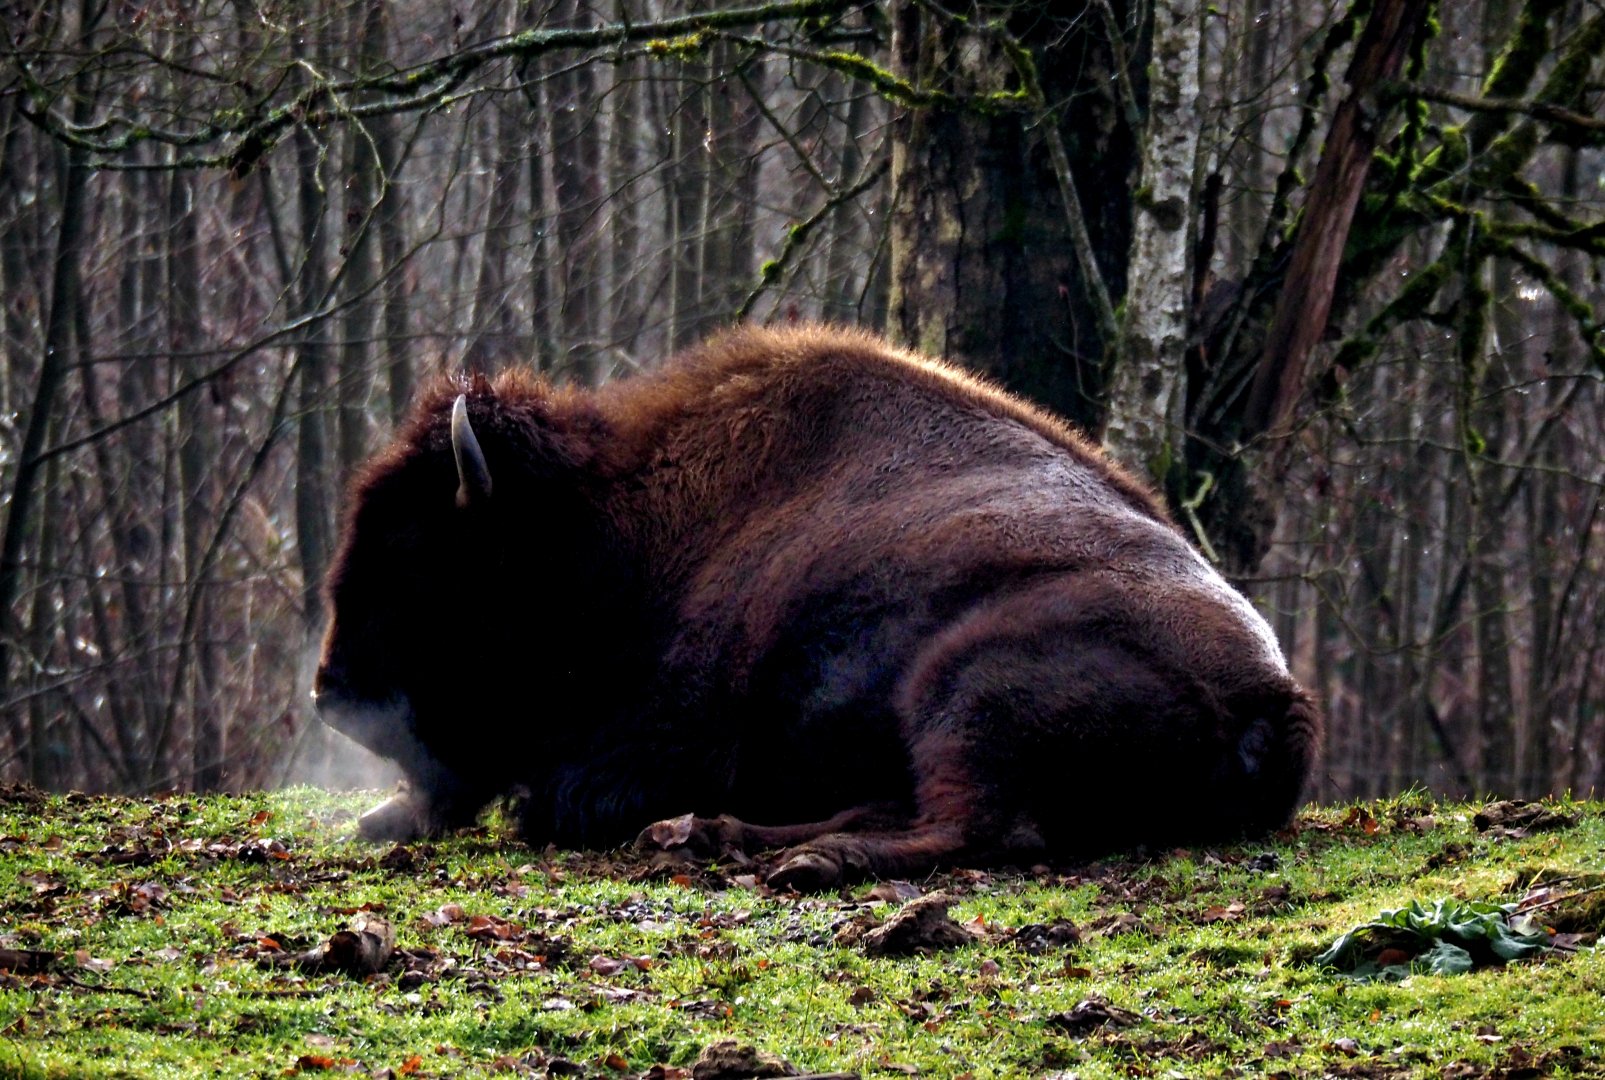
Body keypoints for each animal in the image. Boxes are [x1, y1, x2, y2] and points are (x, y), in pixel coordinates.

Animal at [314, 325, 1319, 889]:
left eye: (418, 557)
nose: (330, 696)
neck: (614, 528)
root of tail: (1277, 696)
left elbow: (548, 797)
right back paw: (705, 835)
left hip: (965, 689)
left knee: (983, 827)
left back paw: (790, 860)